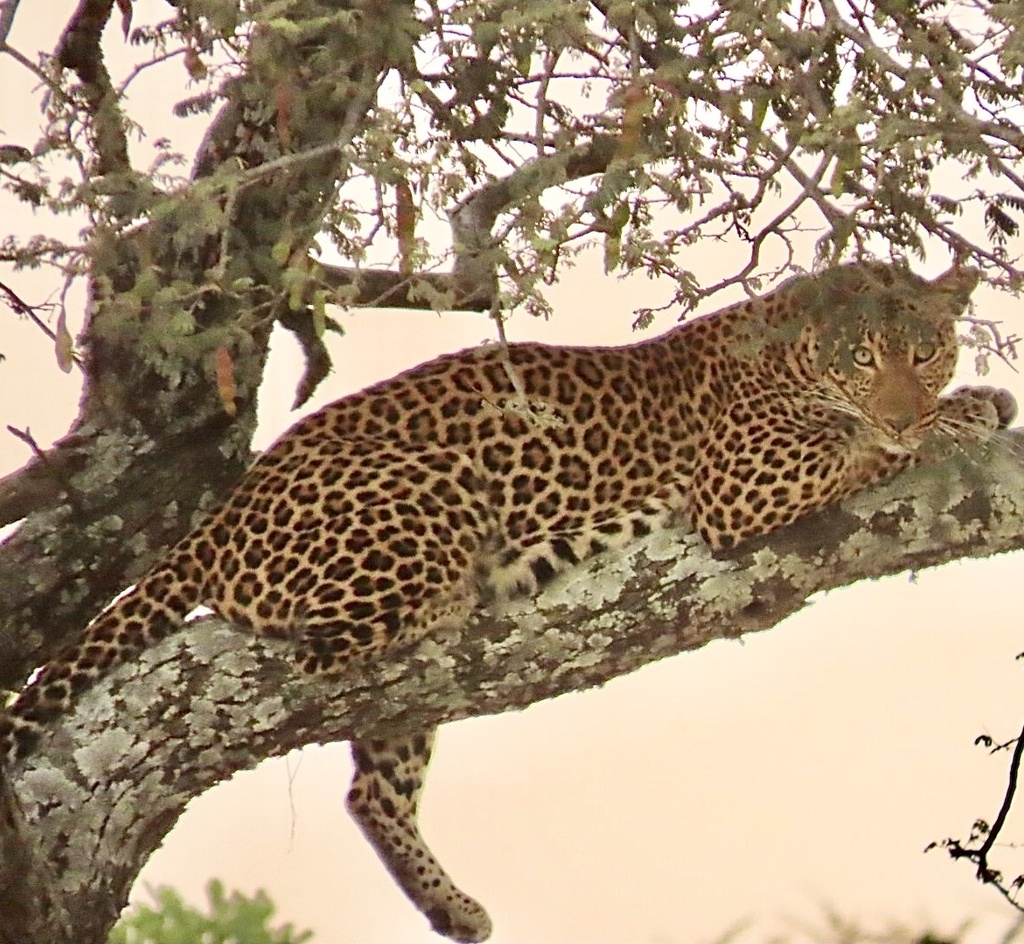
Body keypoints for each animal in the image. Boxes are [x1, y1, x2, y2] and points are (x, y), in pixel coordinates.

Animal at [0, 261, 1016, 942]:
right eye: (864, 358)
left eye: (923, 350)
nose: (904, 404)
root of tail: (215, 522)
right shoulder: (742, 484)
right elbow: (865, 449)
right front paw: (958, 417)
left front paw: (965, 401)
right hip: (430, 493)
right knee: (327, 647)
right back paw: (469, 586)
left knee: (371, 786)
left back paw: (451, 907)